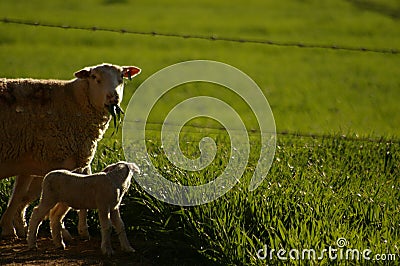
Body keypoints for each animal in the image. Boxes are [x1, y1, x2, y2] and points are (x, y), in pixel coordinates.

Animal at [0, 63, 142, 238]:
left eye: (121, 77)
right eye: (94, 77)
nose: (113, 97)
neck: (73, 101)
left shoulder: (77, 160)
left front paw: (82, 231)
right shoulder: (55, 159)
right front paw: (61, 231)